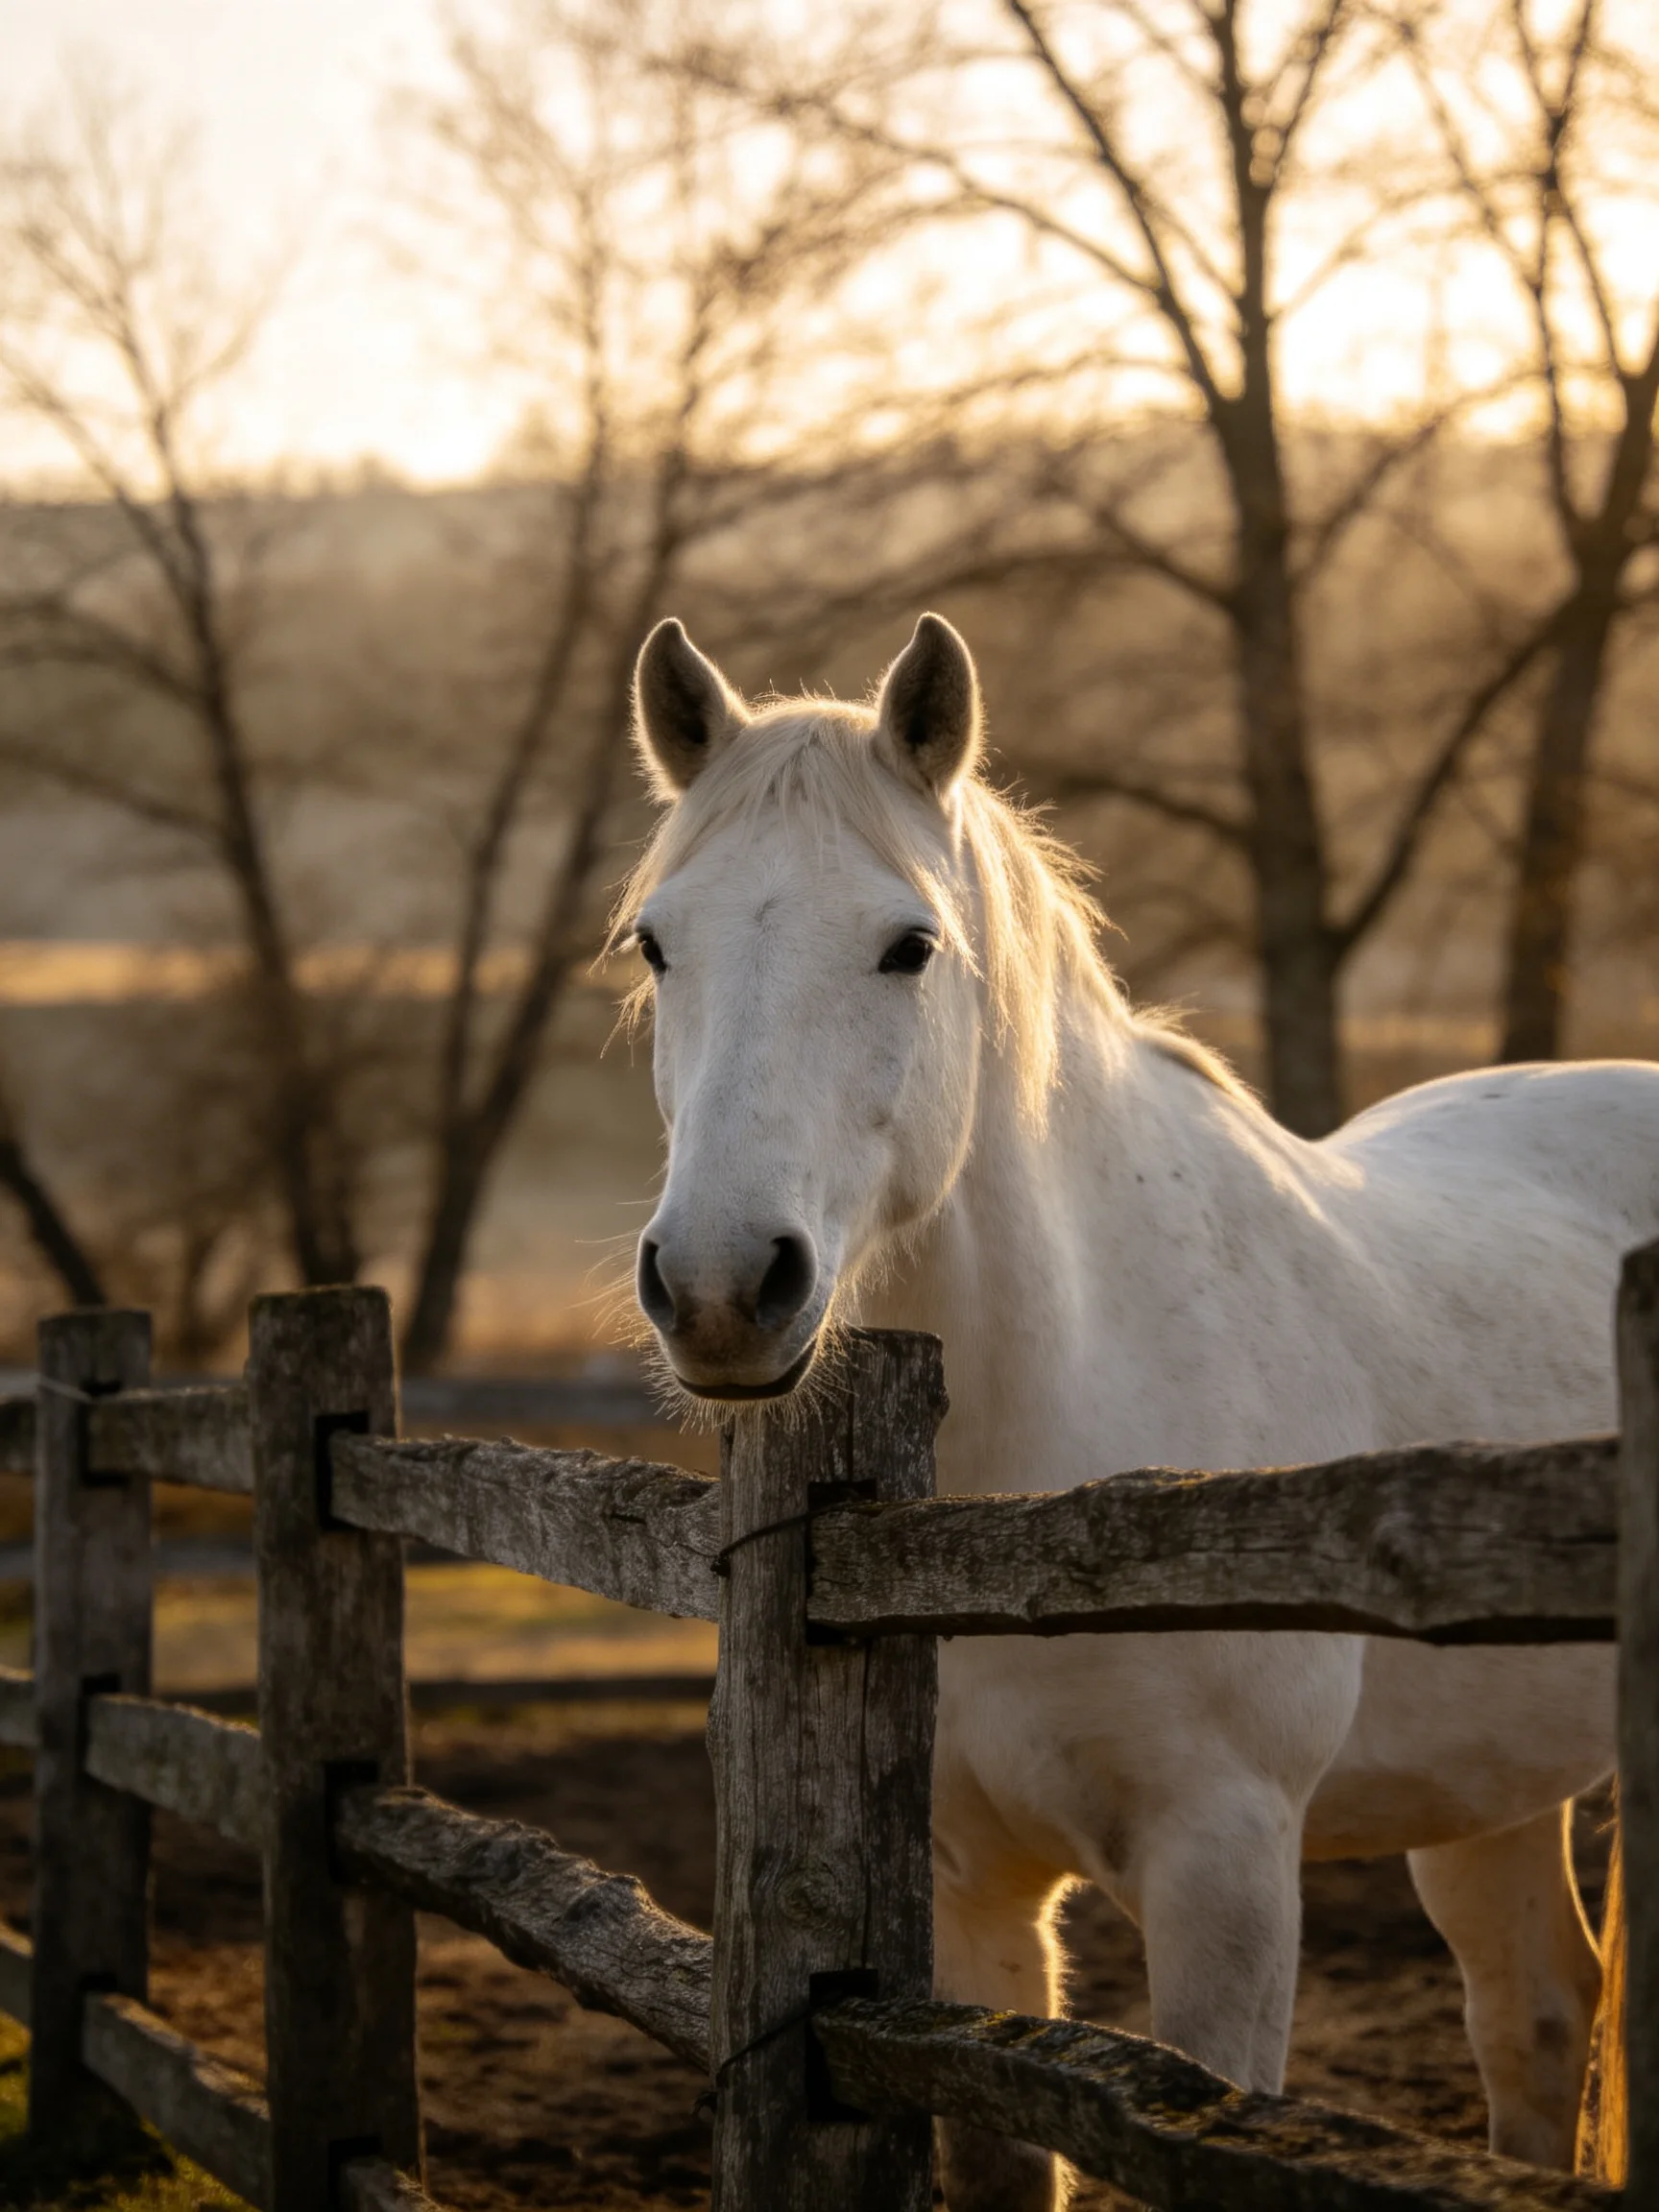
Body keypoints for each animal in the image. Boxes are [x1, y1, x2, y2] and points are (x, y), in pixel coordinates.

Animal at [617, 609, 1657, 2209]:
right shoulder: (963, 1889)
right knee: (1536, 2022)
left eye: (908, 946)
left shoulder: (1223, 1867)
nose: (725, 1285)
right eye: (658, 941)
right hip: (1486, 1789)